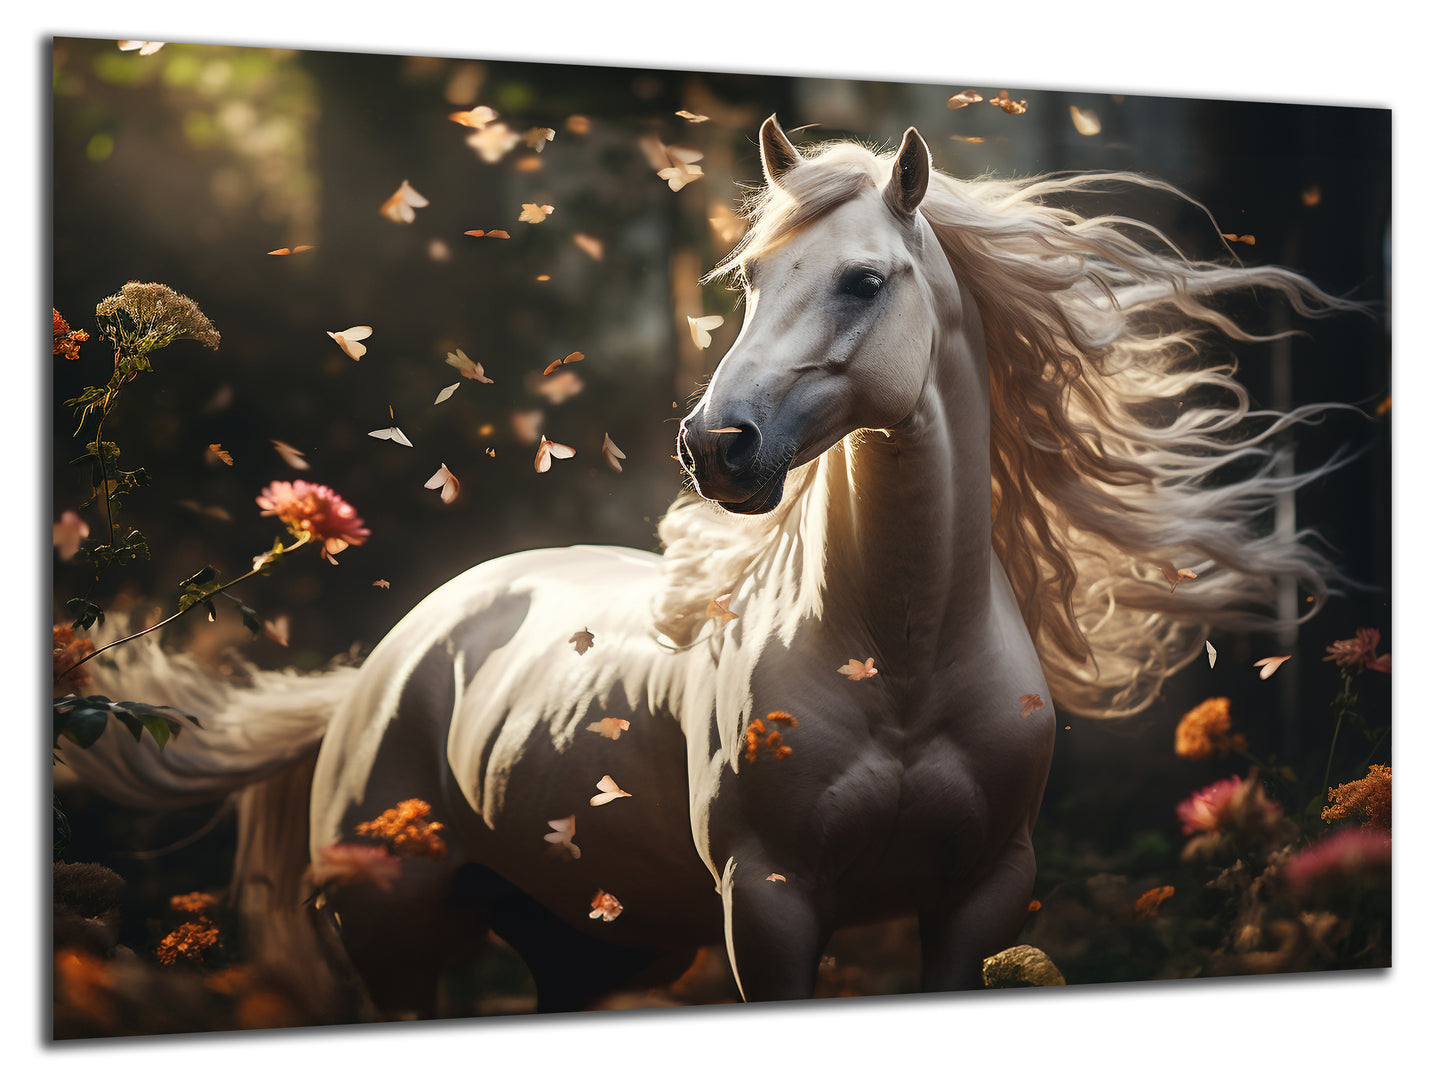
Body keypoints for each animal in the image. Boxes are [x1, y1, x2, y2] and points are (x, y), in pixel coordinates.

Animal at [59, 116, 1352, 1016]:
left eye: (862, 281)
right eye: (750, 282)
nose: (714, 447)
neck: (902, 668)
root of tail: (387, 661)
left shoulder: (974, 899)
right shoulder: (768, 907)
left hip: (586, 942)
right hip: (397, 935)